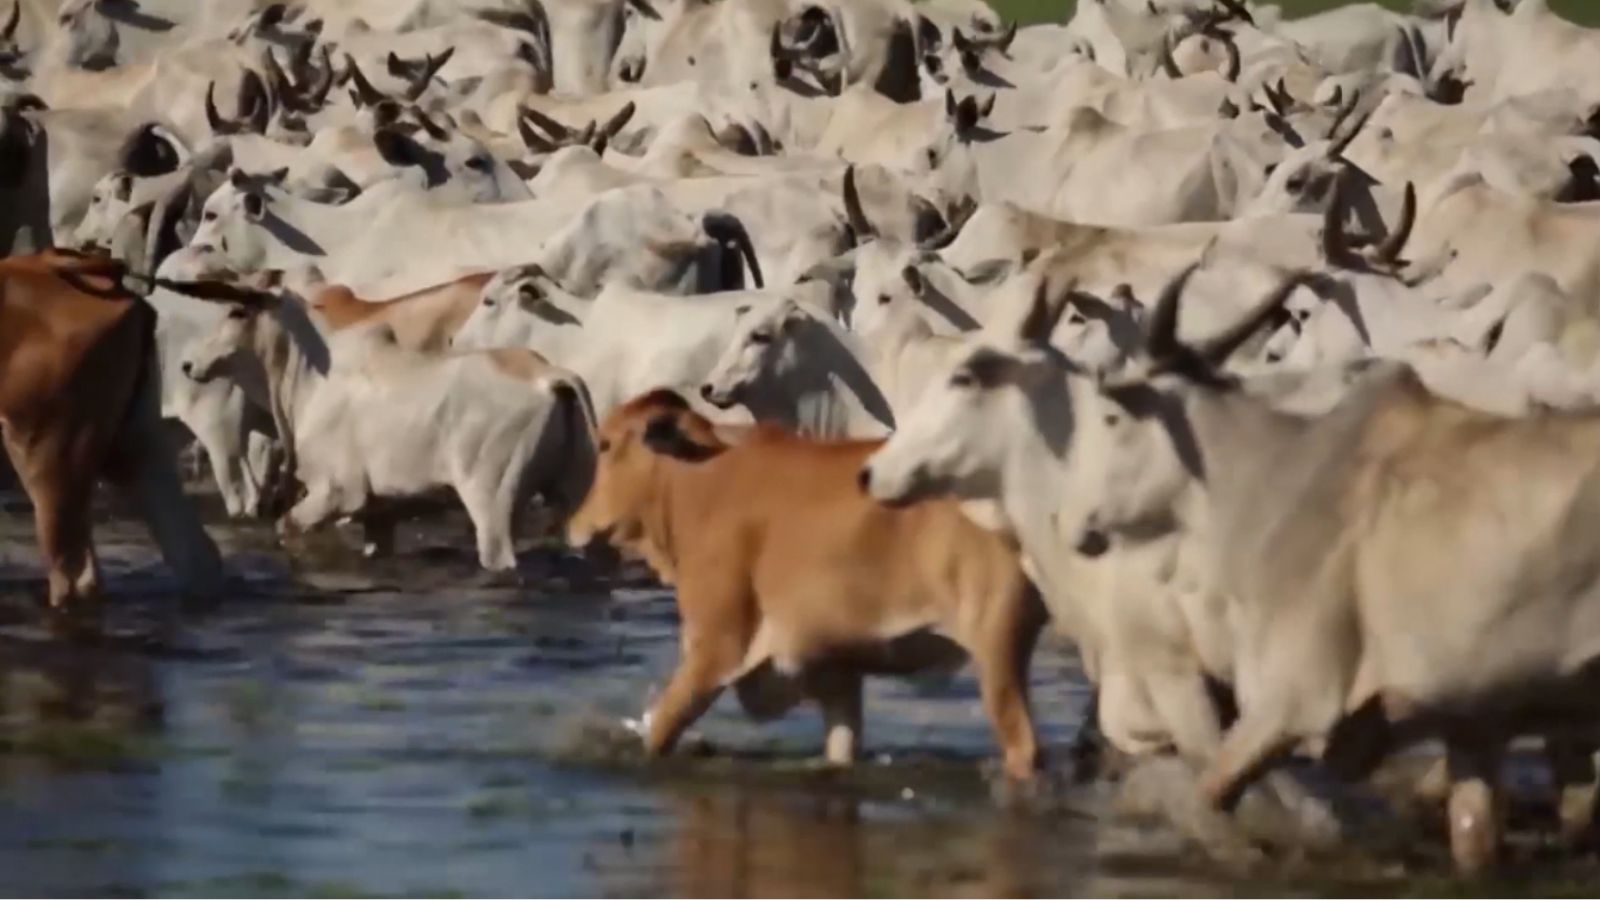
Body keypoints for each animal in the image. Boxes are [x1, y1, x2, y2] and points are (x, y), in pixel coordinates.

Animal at [569, 389, 1043, 775]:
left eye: (605, 444)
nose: (574, 524)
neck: (695, 484)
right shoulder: (836, 671)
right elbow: (841, 746)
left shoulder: (716, 648)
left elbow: (661, 730)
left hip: (997, 647)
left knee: (1025, 748)